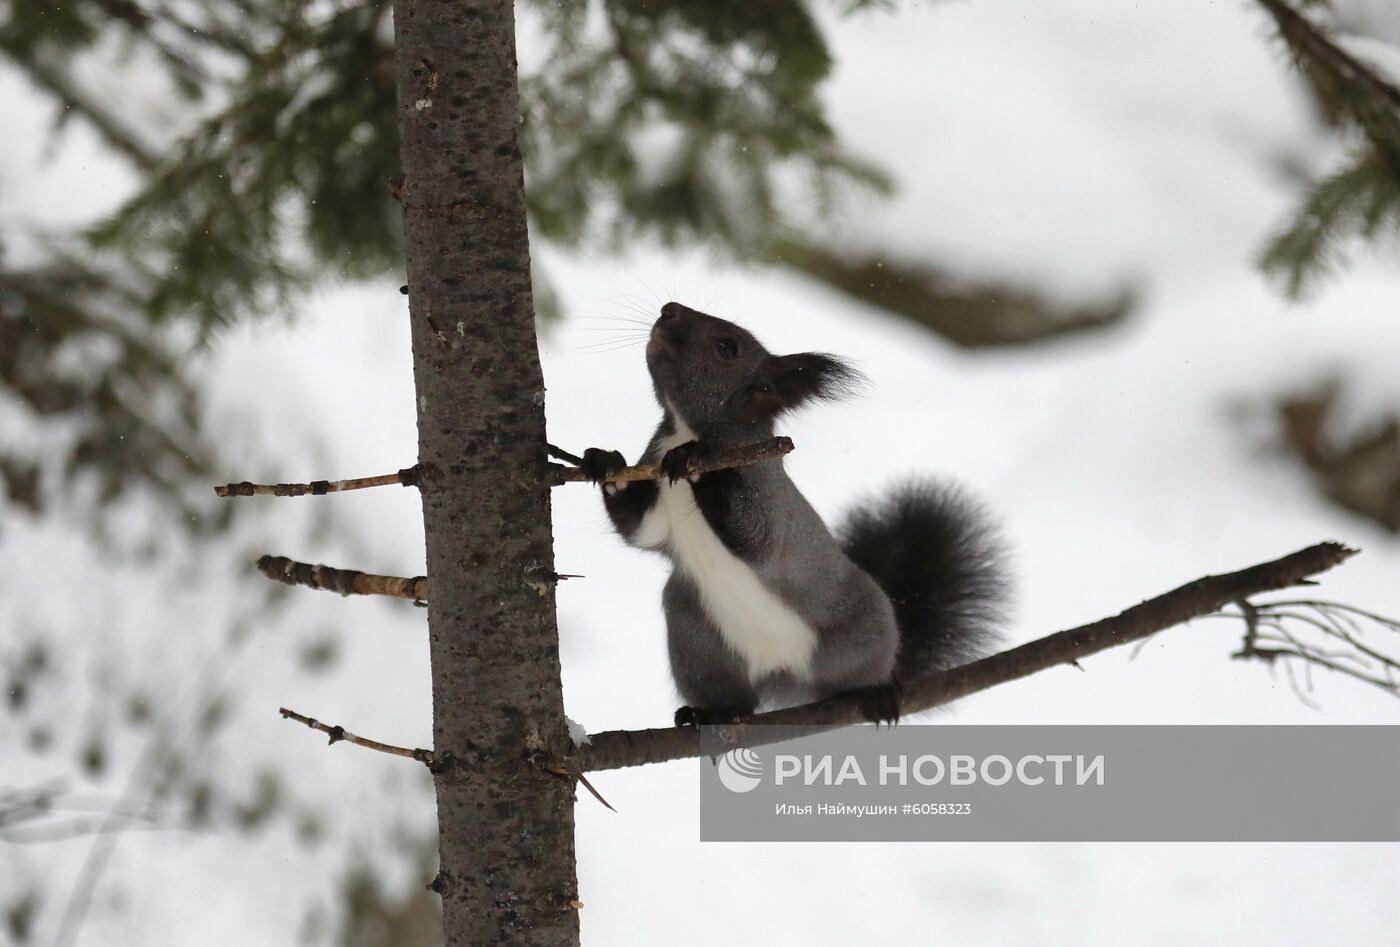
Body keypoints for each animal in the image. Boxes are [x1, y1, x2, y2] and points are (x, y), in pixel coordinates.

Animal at [579, 301, 1008, 722]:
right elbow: (641, 530)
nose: (668, 310)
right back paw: (714, 713)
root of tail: (781, 672)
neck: (685, 429)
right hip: (697, 641)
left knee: (858, 671)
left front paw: (695, 460)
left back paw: (877, 693)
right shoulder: (656, 498)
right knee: (732, 696)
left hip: (861, 631)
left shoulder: (766, 489)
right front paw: (607, 465)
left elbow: (757, 538)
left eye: (726, 347)